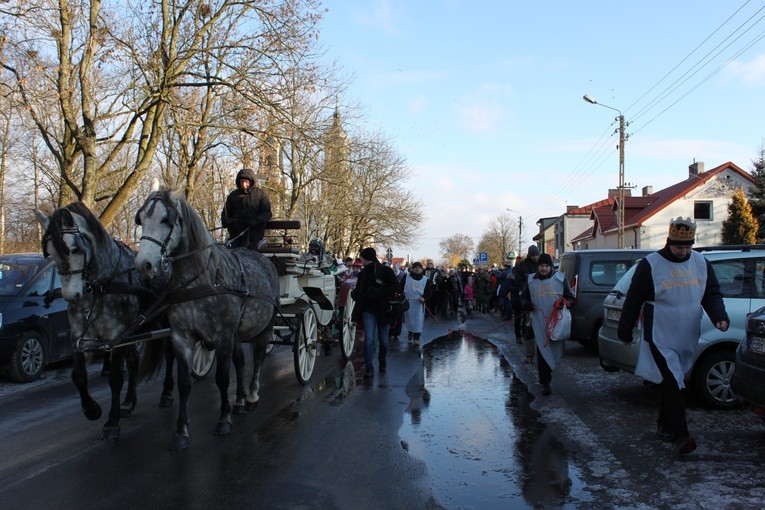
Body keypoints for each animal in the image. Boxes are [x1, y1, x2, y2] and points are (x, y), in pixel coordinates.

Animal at [134, 188, 278, 450]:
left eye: (166, 220)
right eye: (141, 219)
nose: (143, 265)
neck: (201, 281)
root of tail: (264, 258)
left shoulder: (223, 337)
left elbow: (222, 378)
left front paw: (223, 420)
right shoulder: (182, 337)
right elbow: (184, 384)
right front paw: (181, 431)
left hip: (265, 326)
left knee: (259, 358)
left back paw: (252, 395)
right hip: (237, 332)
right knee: (241, 362)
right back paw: (240, 401)